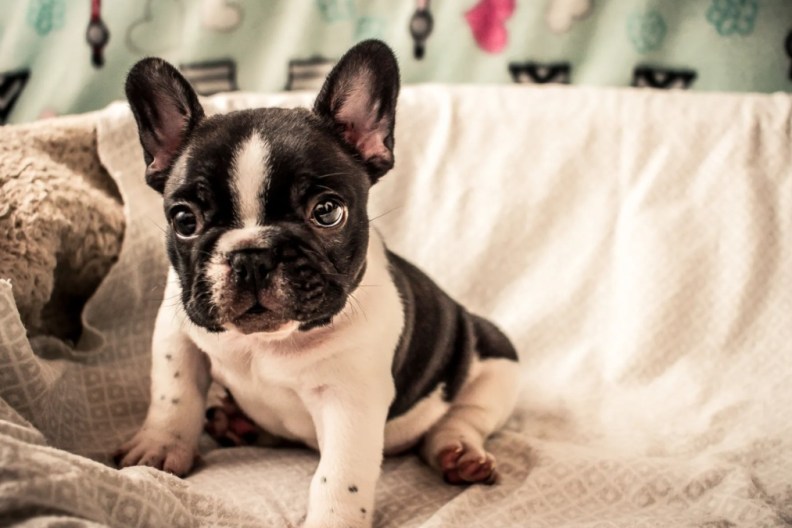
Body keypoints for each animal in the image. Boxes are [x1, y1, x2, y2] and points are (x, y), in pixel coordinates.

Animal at [114, 39, 516, 524]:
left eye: (327, 212)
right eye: (184, 220)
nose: (252, 255)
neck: (267, 344)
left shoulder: (352, 399)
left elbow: (340, 474)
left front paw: (333, 519)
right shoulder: (178, 333)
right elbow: (173, 394)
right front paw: (161, 445)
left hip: (495, 363)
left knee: (466, 414)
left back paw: (457, 452)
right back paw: (238, 424)